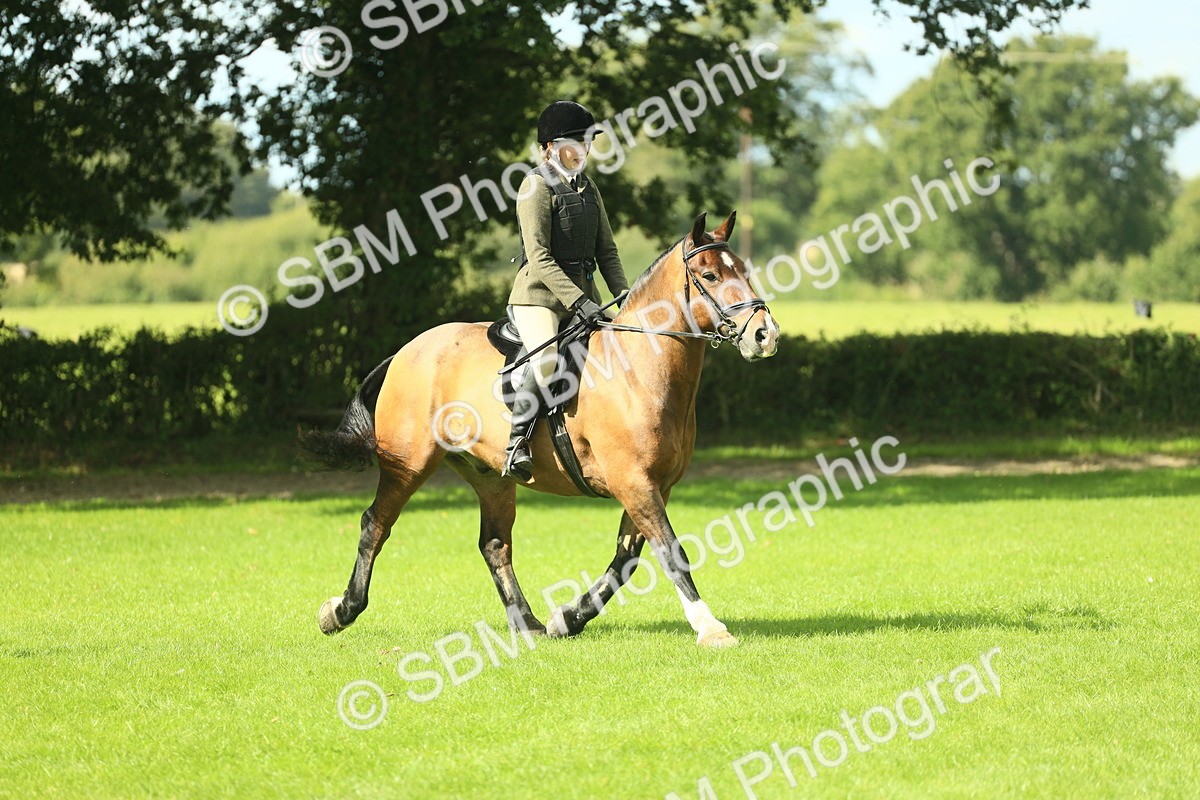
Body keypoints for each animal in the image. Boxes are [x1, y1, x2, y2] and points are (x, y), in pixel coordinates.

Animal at [301, 211, 779, 647]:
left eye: (744, 271)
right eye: (710, 275)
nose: (765, 334)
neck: (639, 367)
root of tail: (406, 351)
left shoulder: (653, 485)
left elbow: (626, 558)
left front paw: (567, 618)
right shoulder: (634, 482)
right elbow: (670, 551)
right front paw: (710, 628)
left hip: (489, 476)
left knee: (494, 543)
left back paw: (527, 623)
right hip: (408, 464)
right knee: (375, 524)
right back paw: (340, 611)